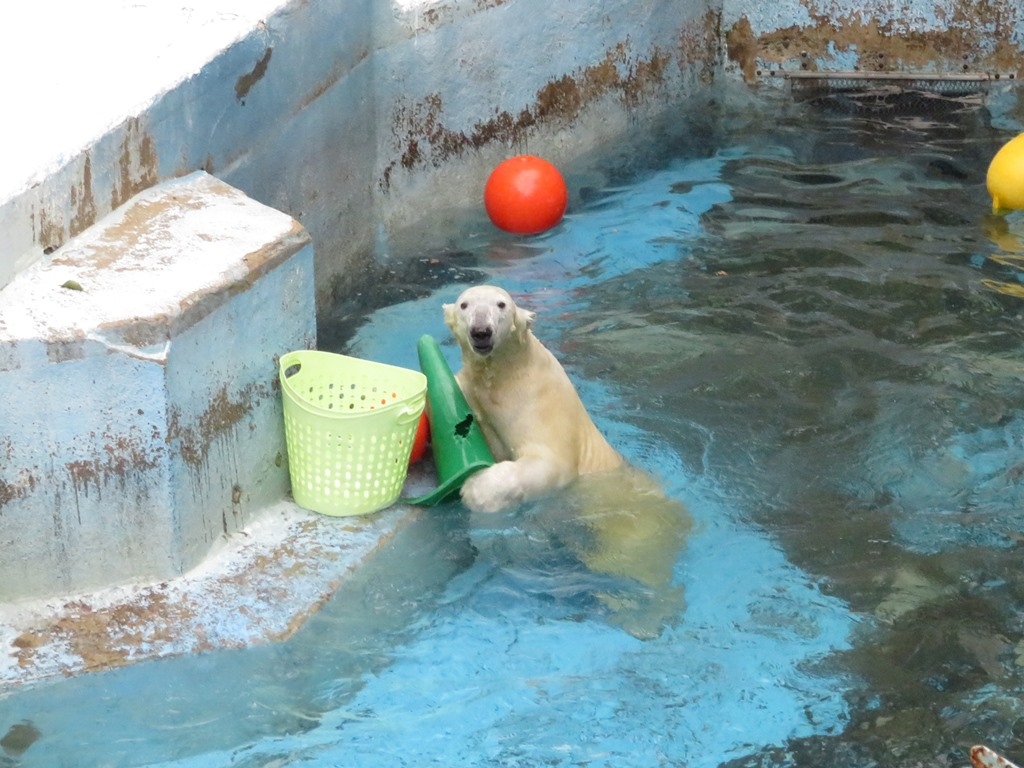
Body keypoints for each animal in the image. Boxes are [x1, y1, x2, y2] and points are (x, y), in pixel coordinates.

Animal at [446, 286, 622, 514]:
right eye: (464, 305)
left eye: (501, 304)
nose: (481, 331)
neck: (504, 374)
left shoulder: (538, 401)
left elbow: (550, 460)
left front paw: (476, 488)